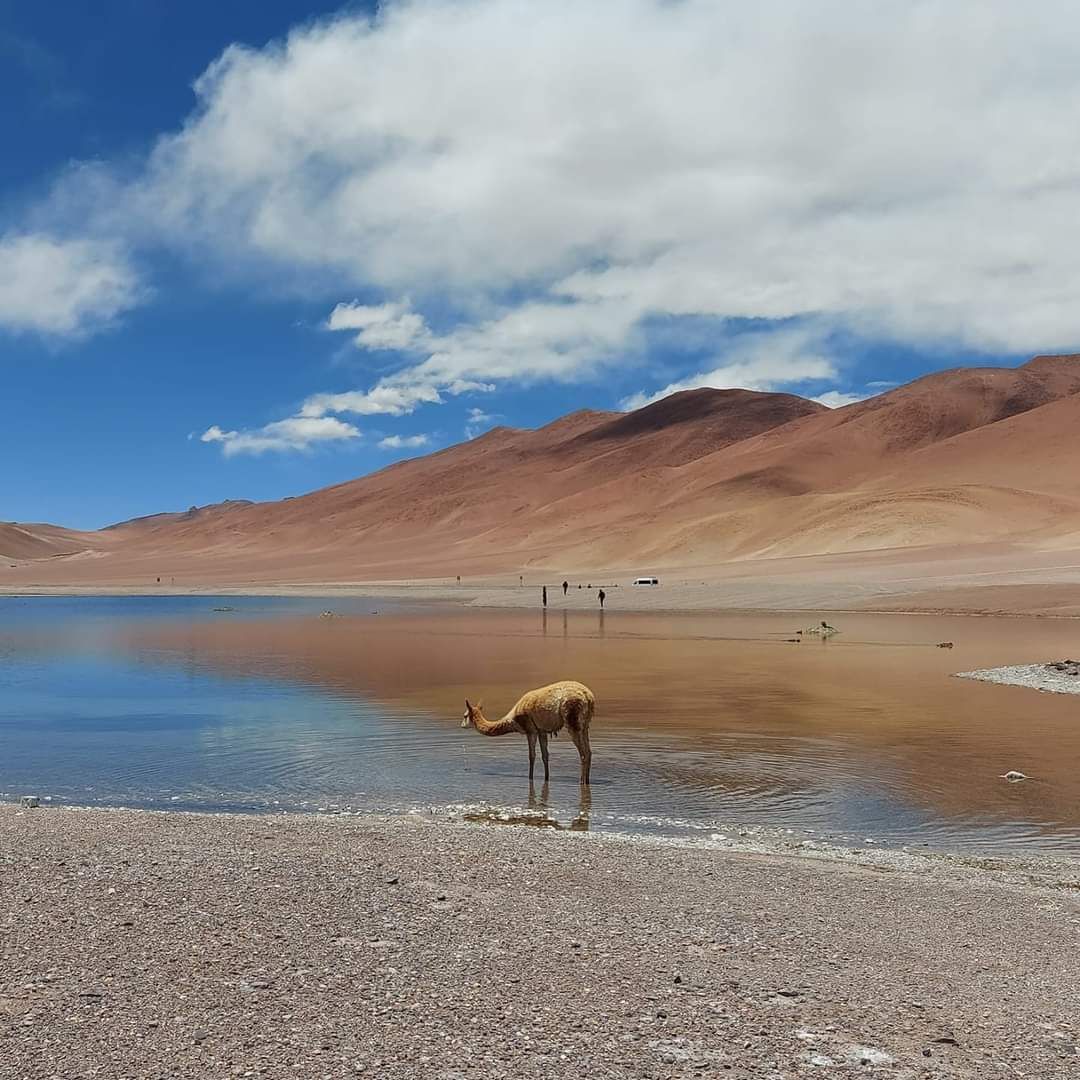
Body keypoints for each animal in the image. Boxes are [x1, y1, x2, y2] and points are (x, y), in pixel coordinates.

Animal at [462, 680, 595, 785]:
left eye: (465, 716)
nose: (461, 725)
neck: (513, 718)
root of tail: (588, 697)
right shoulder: (541, 731)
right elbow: (545, 756)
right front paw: (546, 778)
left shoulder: (530, 731)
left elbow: (532, 756)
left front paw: (530, 778)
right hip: (584, 726)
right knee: (589, 752)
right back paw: (587, 780)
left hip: (572, 721)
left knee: (583, 754)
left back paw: (582, 782)